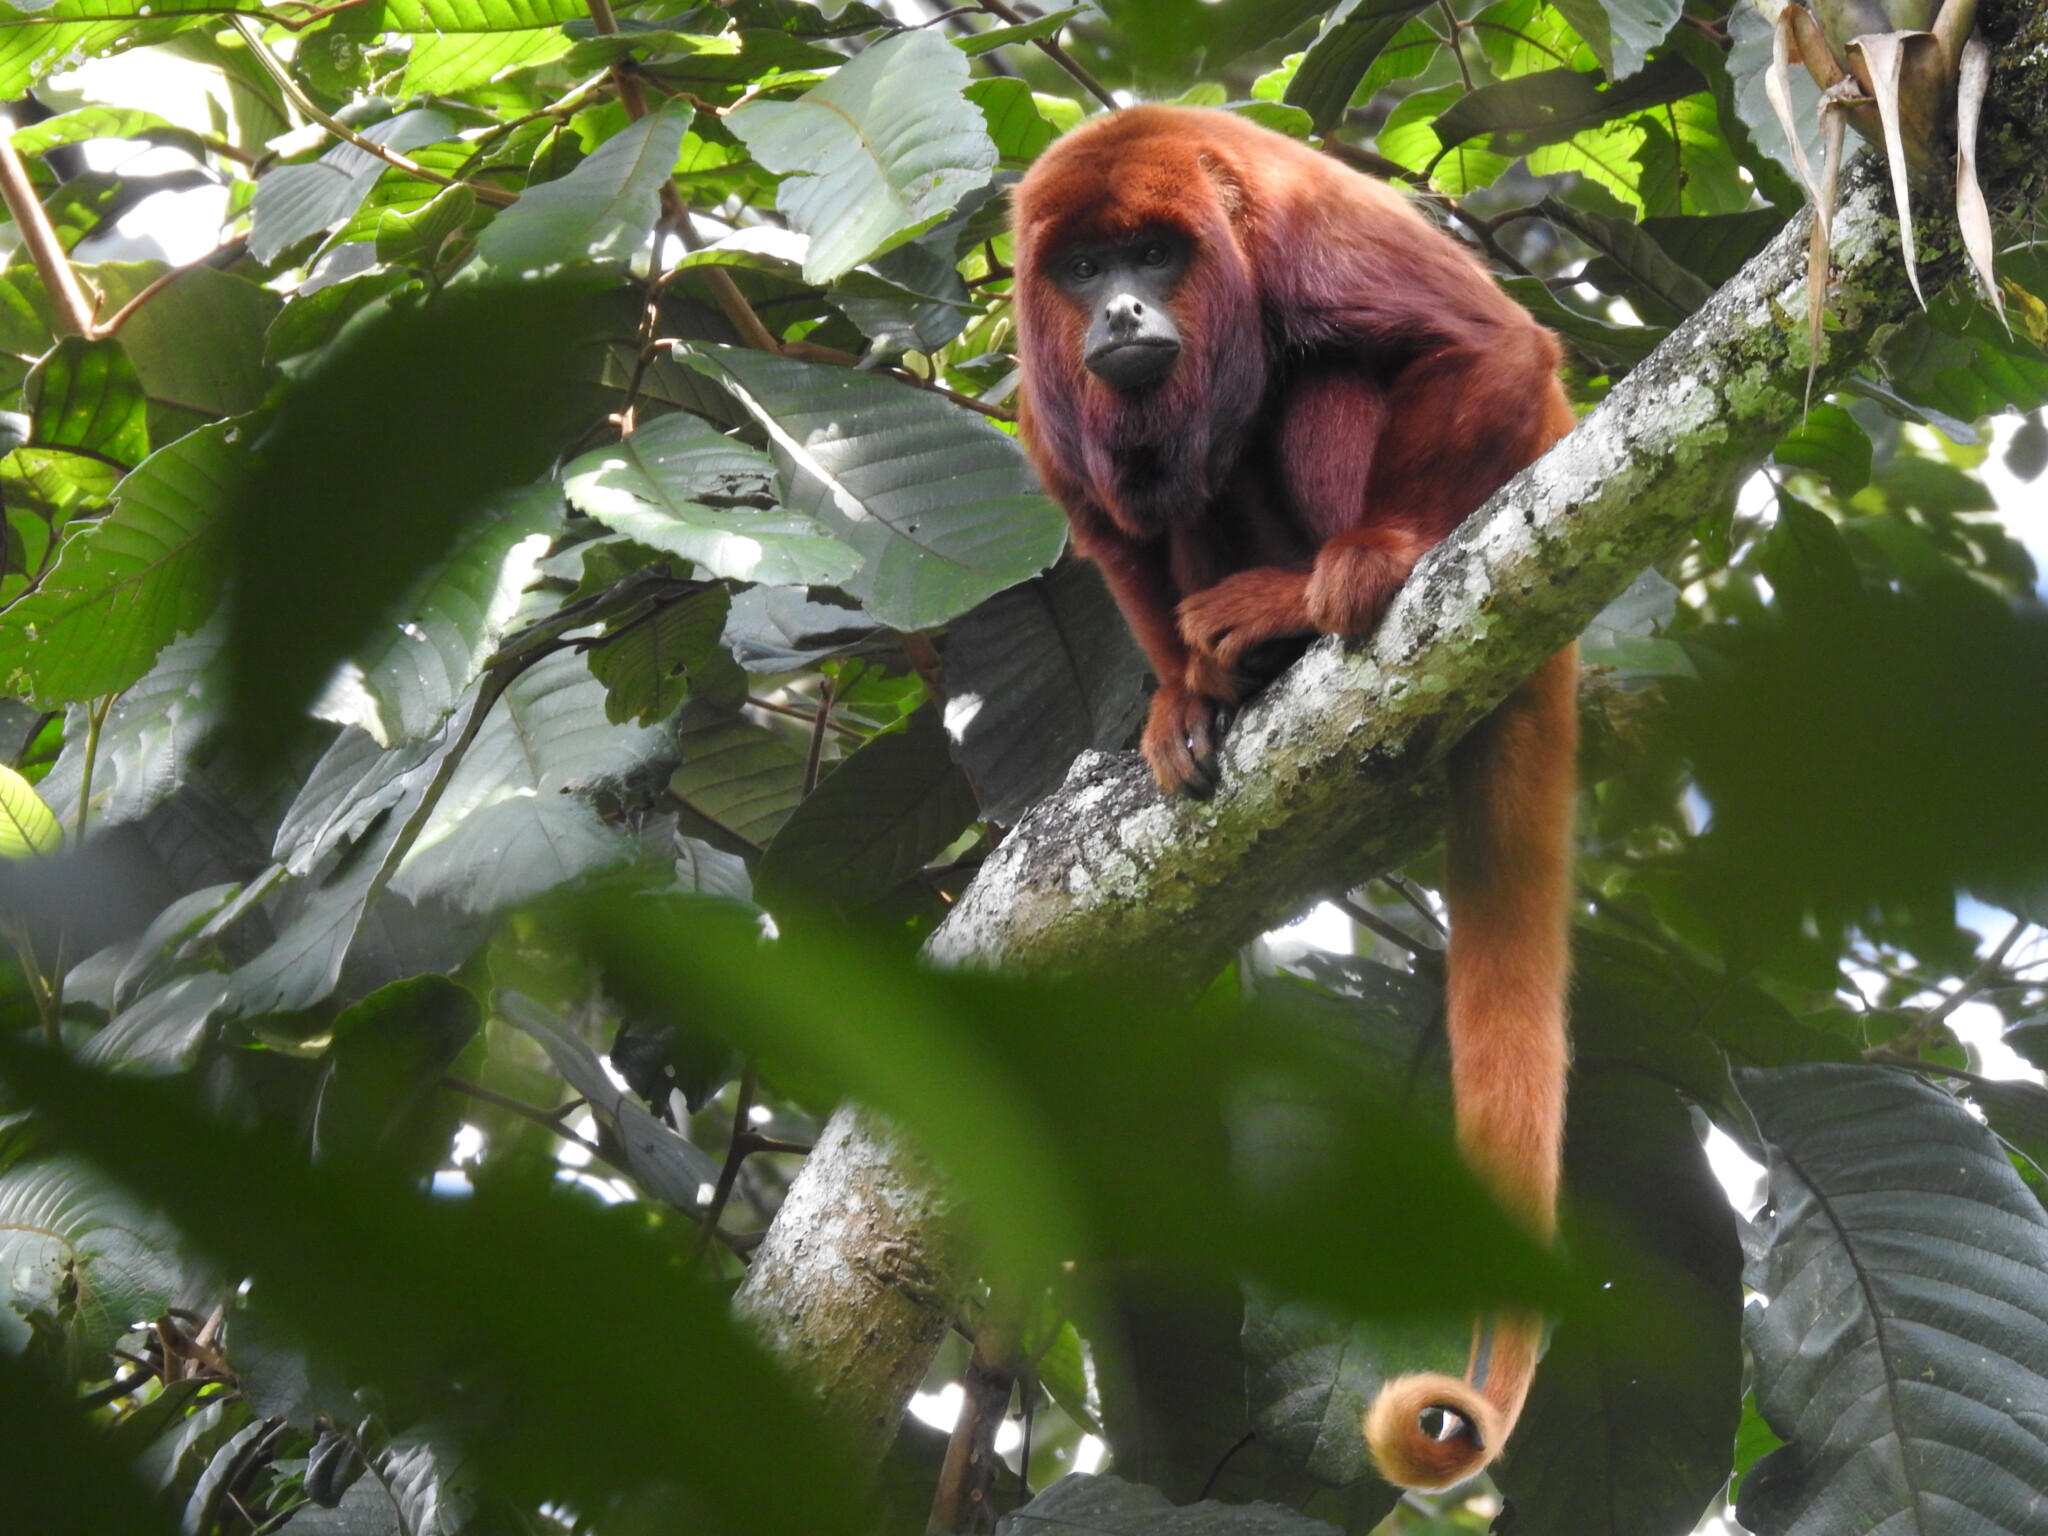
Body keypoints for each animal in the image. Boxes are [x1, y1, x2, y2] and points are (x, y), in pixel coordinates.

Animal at [1010, 106, 1577, 1492]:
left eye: (1153, 257)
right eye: (1081, 270)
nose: (1119, 314)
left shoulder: (1288, 223)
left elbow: (1477, 342)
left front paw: (1372, 562)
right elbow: (1102, 519)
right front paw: (1174, 701)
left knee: (1323, 380)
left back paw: (1306, 602)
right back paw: (1236, 668)